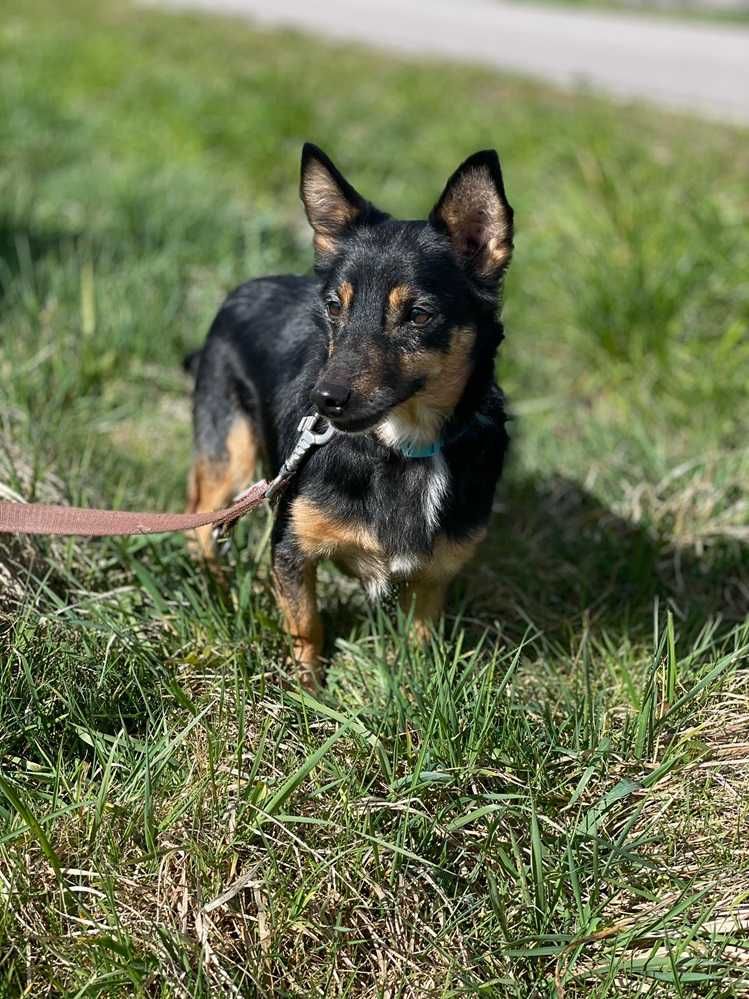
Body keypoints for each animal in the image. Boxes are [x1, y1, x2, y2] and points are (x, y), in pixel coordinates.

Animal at [187, 145, 516, 688]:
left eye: (419, 315)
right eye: (332, 306)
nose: (325, 400)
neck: (403, 446)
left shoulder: (435, 571)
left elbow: (419, 638)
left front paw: (413, 686)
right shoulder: (291, 549)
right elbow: (307, 626)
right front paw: (308, 690)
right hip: (229, 449)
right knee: (201, 519)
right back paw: (214, 587)